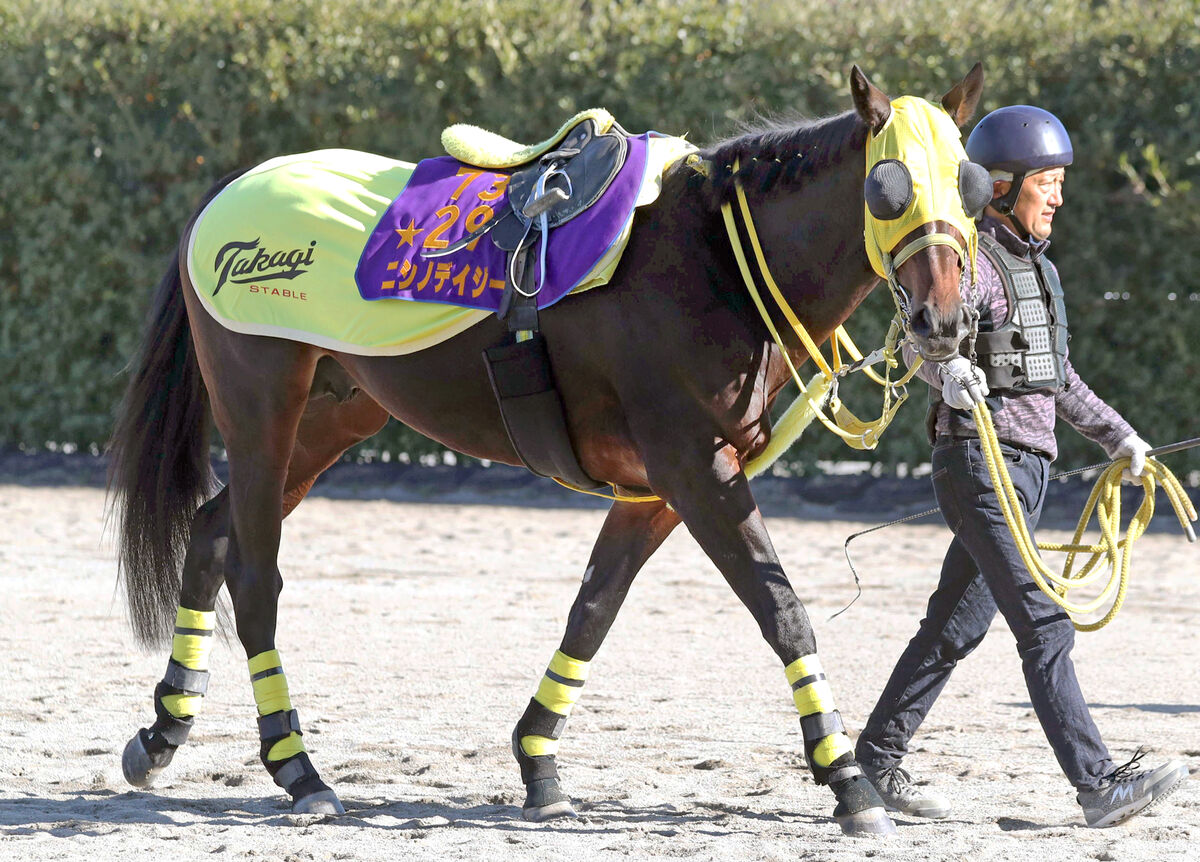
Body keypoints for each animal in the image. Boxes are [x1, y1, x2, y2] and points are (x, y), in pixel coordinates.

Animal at [105, 64, 984, 840]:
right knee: (255, 576)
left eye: (972, 186)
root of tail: (227, 192)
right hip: (261, 411)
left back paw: (164, 732)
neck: (714, 262)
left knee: (212, 530)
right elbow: (785, 614)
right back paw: (299, 769)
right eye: (888, 188)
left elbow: (593, 610)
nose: (944, 320)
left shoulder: (654, 491)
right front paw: (847, 779)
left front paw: (539, 762)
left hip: (333, 415)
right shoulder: (698, 472)